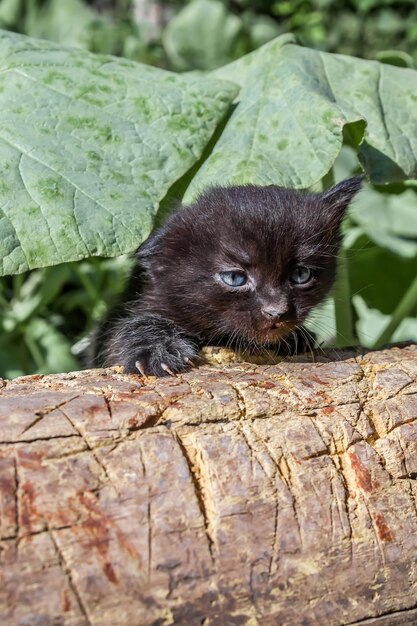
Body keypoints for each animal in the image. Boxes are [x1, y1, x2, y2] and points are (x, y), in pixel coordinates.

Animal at [89, 174, 362, 376]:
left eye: (301, 274)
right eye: (234, 278)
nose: (276, 312)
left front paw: (297, 339)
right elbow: (129, 328)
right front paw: (156, 351)